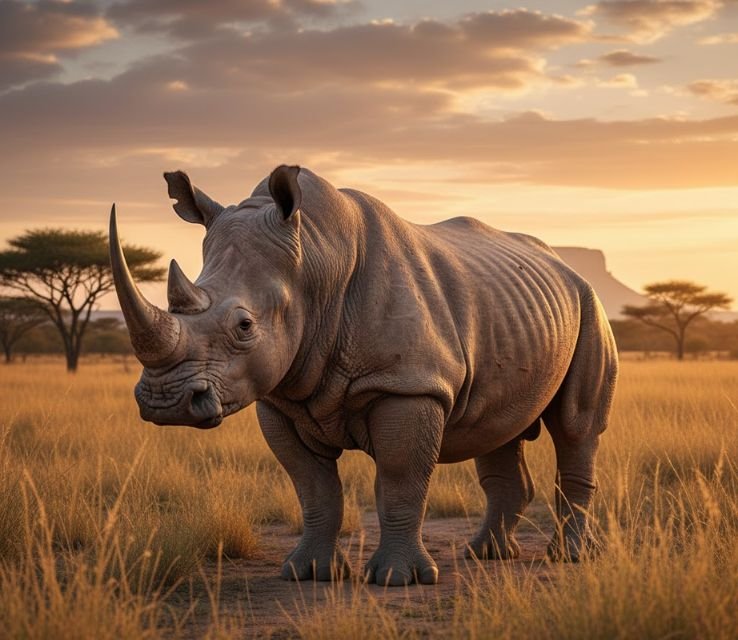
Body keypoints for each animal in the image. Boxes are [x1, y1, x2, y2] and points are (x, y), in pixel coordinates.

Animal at [109, 165, 618, 586]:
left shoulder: (408, 385)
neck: (314, 262)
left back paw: (569, 557)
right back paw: (486, 555)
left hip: (589, 306)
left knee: (576, 427)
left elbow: (399, 479)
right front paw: (308, 573)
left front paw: (398, 579)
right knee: (497, 429)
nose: (164, 402)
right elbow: (313, 487)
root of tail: (563, 265)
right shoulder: (279, 397)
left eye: (245, 326)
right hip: (514, 308)